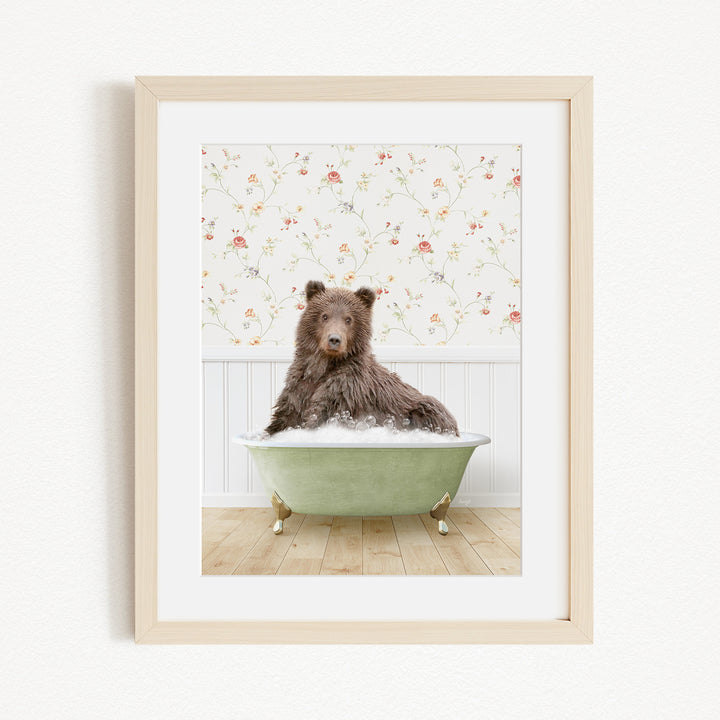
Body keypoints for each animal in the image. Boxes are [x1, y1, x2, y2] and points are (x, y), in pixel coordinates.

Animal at [265, 279, 459, 435]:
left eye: (348, 319)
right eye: (324, 316)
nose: (334, 339)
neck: (324, 366)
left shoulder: (345, 391)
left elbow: (320, 415)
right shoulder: (299, 387)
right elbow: (284, 418)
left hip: (422, 408)